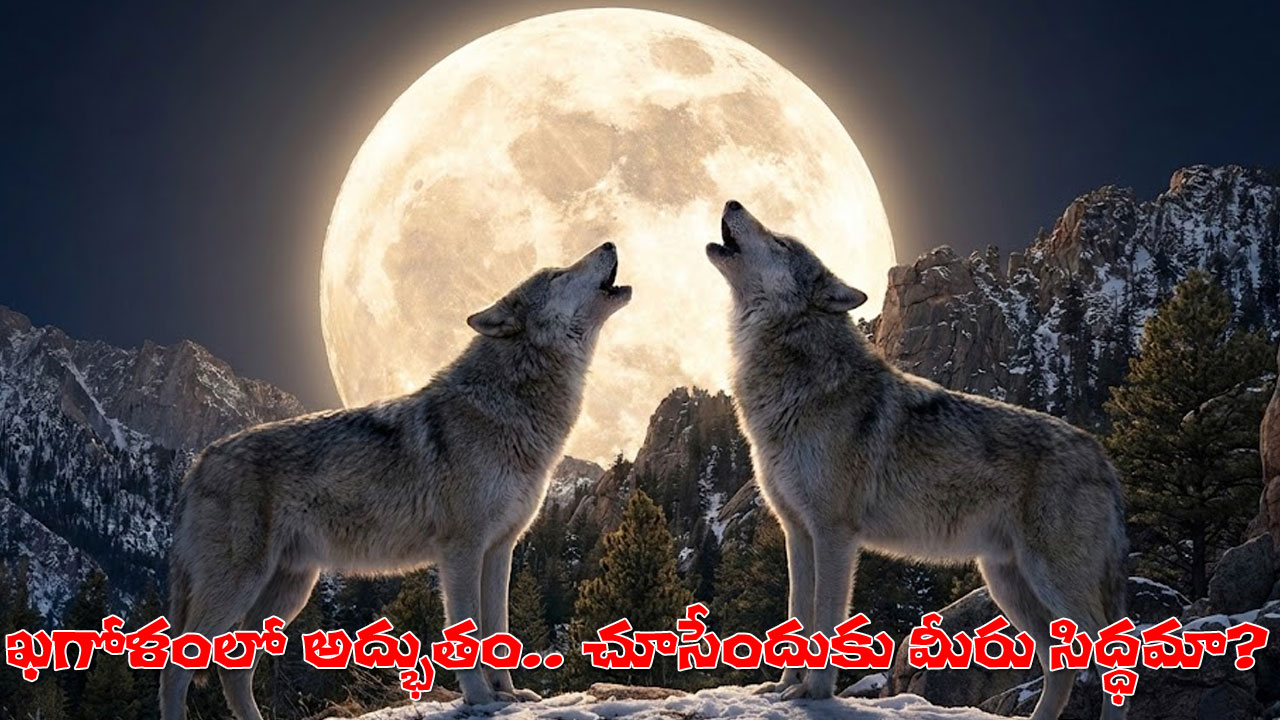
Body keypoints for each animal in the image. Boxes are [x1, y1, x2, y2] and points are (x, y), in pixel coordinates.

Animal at [160, 243, 631, 720]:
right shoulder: (460, 549)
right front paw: (479, 698)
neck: (507, 407)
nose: (610, 243)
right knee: (176, 670)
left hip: (289, 591)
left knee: (233, 670)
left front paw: (509, 696)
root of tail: (200, 463)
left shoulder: (500, 549)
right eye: (556, 274)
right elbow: (468, 629)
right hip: (241, 586)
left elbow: (498, 630)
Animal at [707, 201, 1128, 720]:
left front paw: (813, 694)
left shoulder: (834, 534)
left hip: (1052, 580)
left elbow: (824, 619)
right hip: (1008, 584)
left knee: (1115, 655)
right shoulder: (797, 534)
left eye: (782, 243)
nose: (733, 203)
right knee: (1061, 665)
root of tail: (1101, 455)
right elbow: (795, 616)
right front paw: (783, 688)